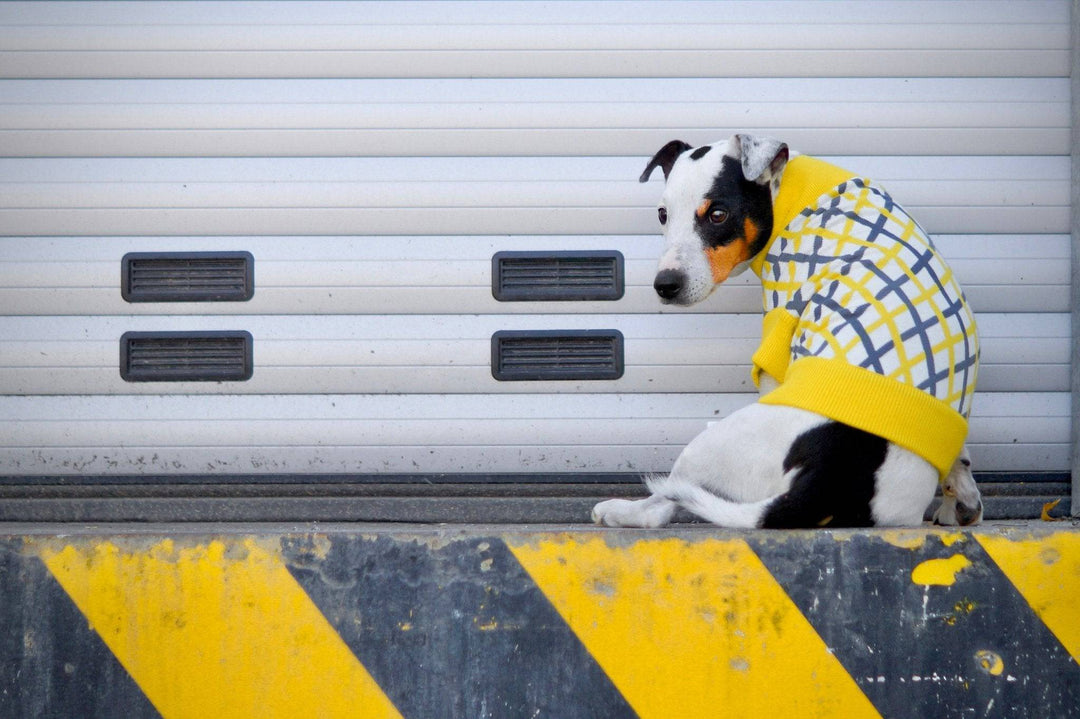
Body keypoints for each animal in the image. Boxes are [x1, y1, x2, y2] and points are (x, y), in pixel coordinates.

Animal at [596, 132, 984, 526]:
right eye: (663, 215)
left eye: (718, 214)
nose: (665, 285)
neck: (784, 191)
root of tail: (830, 482)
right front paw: (961, 495)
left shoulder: (778, 333)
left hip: (707, 445)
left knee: (665, 503)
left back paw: (620, 510)